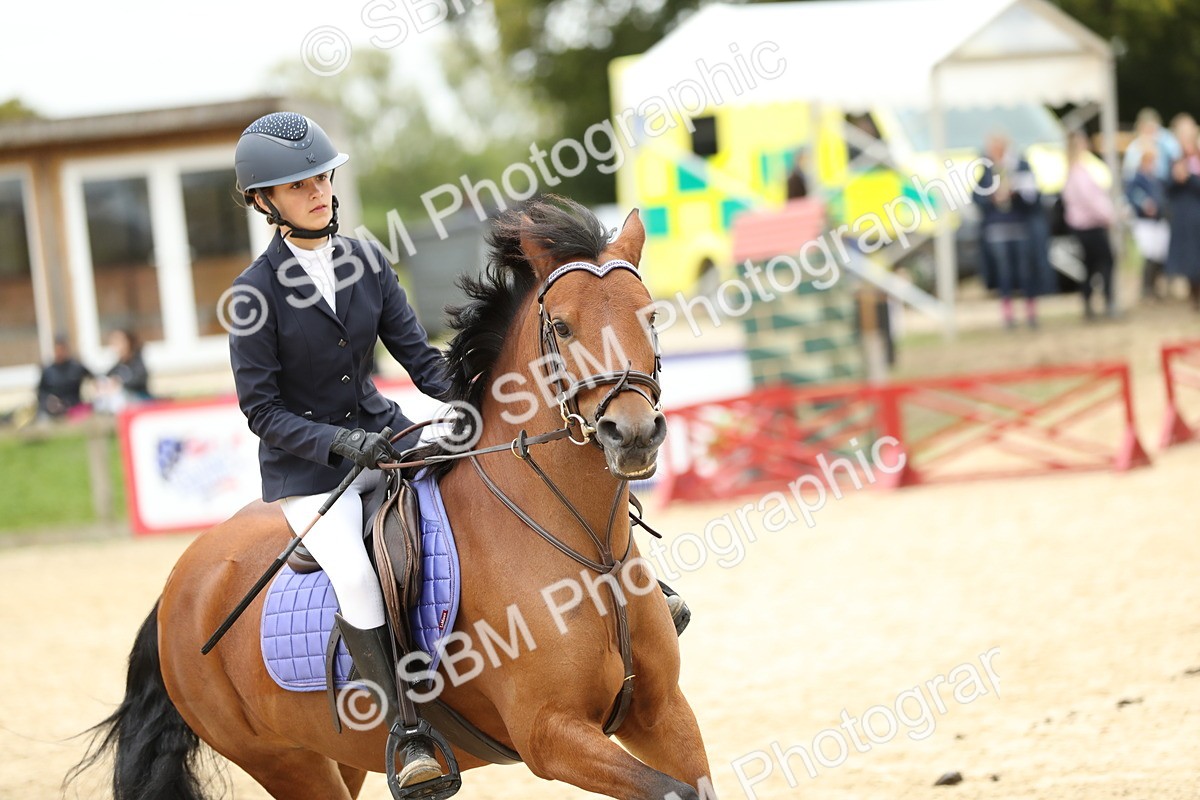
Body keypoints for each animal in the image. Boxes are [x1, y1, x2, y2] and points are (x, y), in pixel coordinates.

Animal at [69, 196, 715, 800]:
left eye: (650, 316)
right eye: (560, 326)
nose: (632, 434)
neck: (586, 548)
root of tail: (178, 587)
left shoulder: (662, 712)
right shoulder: (551, 736)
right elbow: (673, 790)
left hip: (342, 755)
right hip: (288, 764)